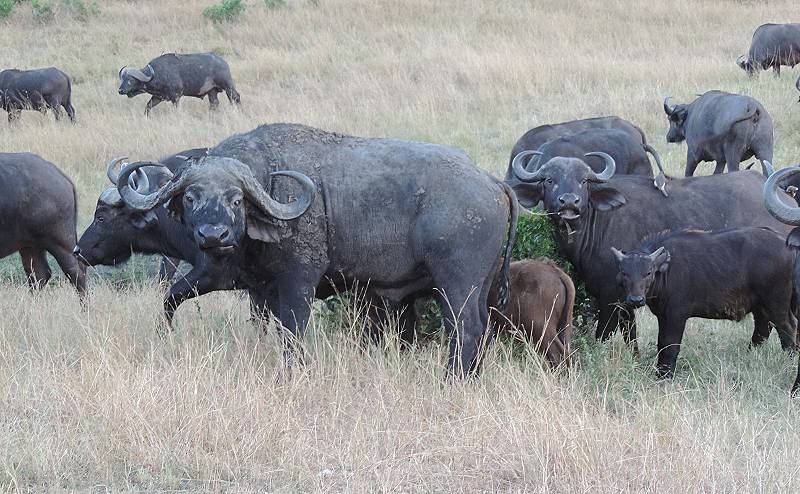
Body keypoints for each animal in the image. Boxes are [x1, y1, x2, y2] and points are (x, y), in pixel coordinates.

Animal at [111, 124, 520, 378]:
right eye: (191, 197)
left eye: (236, 199)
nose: (214, 234)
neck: (273, 184)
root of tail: (492, 182)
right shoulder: (264, 290)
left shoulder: (298, 281)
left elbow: (293, 333)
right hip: (481, 285)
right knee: (481, 329)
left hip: (456, 284)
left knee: (464, 329)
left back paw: (451, 380)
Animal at [612, 228, 792, 378]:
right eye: (624, 272)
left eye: (648, 272)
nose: (636, 299)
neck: (666, 271)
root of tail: (785, 243)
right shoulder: (663, 316)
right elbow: (661, 344)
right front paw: (660, 371)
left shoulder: (676, 316)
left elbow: (671, 345)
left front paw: (665, 376)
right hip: (761, 307)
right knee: (763, 330)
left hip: (777, 306)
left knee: (788, 330)